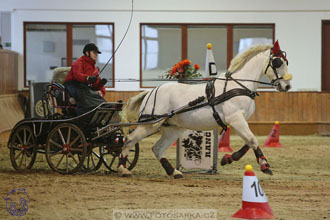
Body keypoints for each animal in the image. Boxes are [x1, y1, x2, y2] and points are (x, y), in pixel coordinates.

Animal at [118, 41, 292, 179]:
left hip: (173, 128)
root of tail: (151, 91)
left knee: (157, 148)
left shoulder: (240, 121)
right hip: (150, 124)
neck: (238, 85)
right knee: (129, 140)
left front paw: (228, 158)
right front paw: (265, 165)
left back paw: (173, 172)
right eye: (278, 62)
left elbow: (248, 142)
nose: (287, 86)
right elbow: (252, 140)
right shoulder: (236, 119)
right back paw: (122, 169)